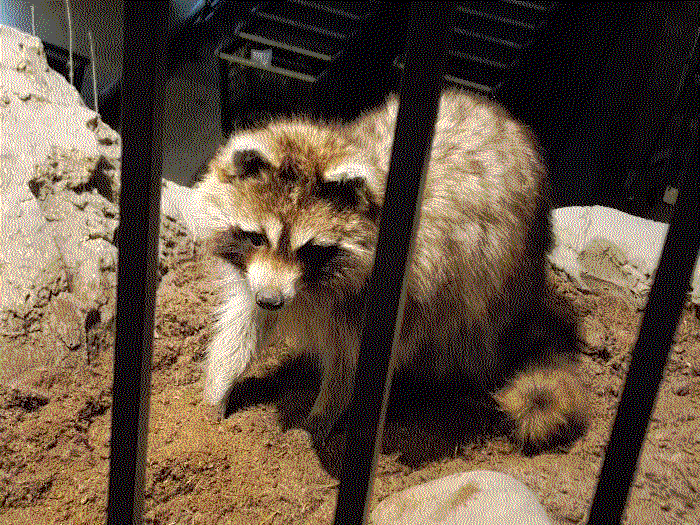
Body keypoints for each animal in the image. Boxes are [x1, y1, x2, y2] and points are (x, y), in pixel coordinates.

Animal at [197, 89, 592, 450]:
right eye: (256, 237)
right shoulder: (257, 278)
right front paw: (218, 389)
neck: (312, 287)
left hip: (500, 273)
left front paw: (322, 416)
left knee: (467, 329)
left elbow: (353, 361)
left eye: (312, 250)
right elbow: (243, 321)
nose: (272, 300)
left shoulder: (396, 293)